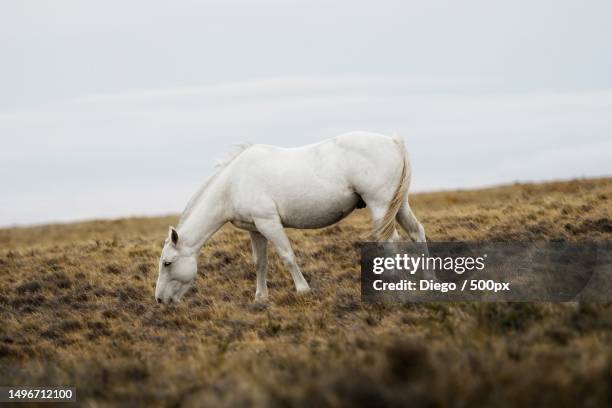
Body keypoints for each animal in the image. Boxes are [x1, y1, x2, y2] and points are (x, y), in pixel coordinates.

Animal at [155, 131, 428, 302]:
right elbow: (260, 262)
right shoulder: (255, 229)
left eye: (167, 262)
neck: (233, 183)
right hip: (398, 205)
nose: (159, 299)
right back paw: (429, 279)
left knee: (391, 241)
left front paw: (303, 290)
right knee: (417, 233)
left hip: (380, 206)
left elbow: (287, 256)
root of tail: (393, 141)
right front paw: (260, 298)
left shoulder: (269, 223)